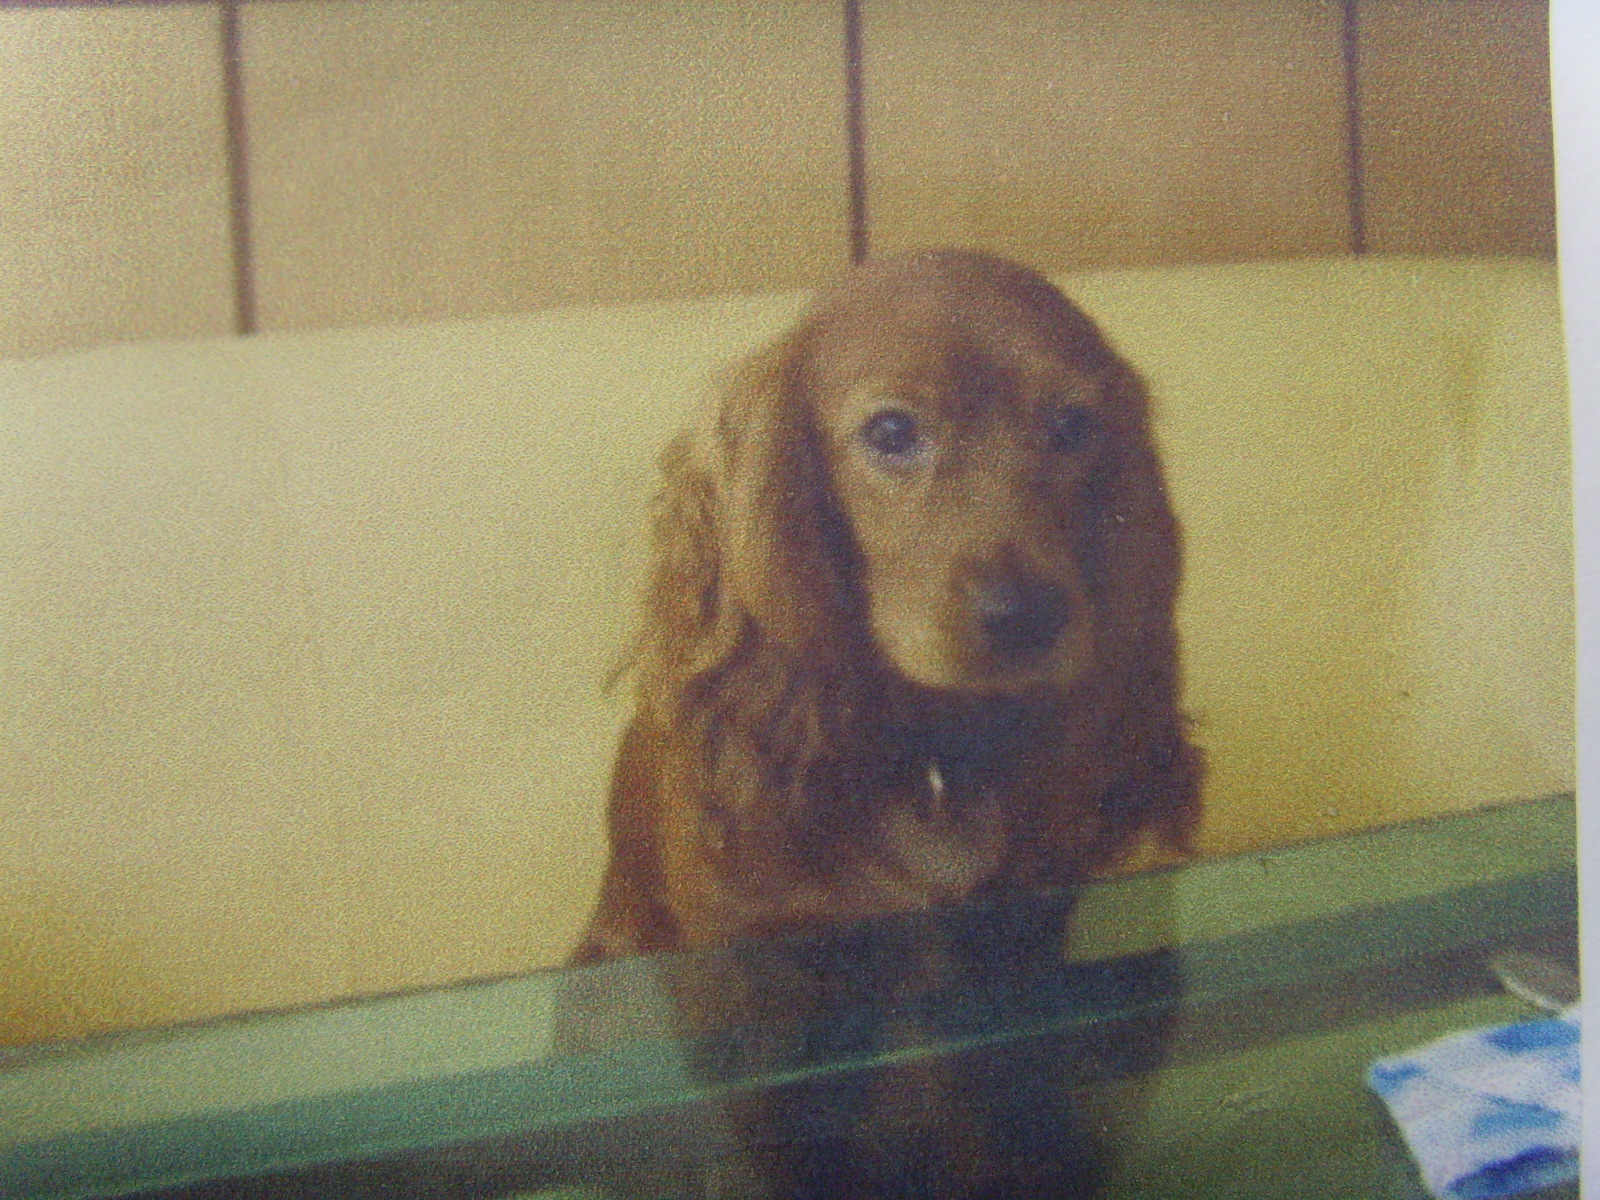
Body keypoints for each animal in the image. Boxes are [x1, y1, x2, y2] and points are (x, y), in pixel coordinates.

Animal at [571, 248, 1200, 1198]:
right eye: (893, 431)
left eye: (1072, 426)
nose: (1027, 617)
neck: (928, 753)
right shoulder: (755, 984)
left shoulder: (1016, 947)